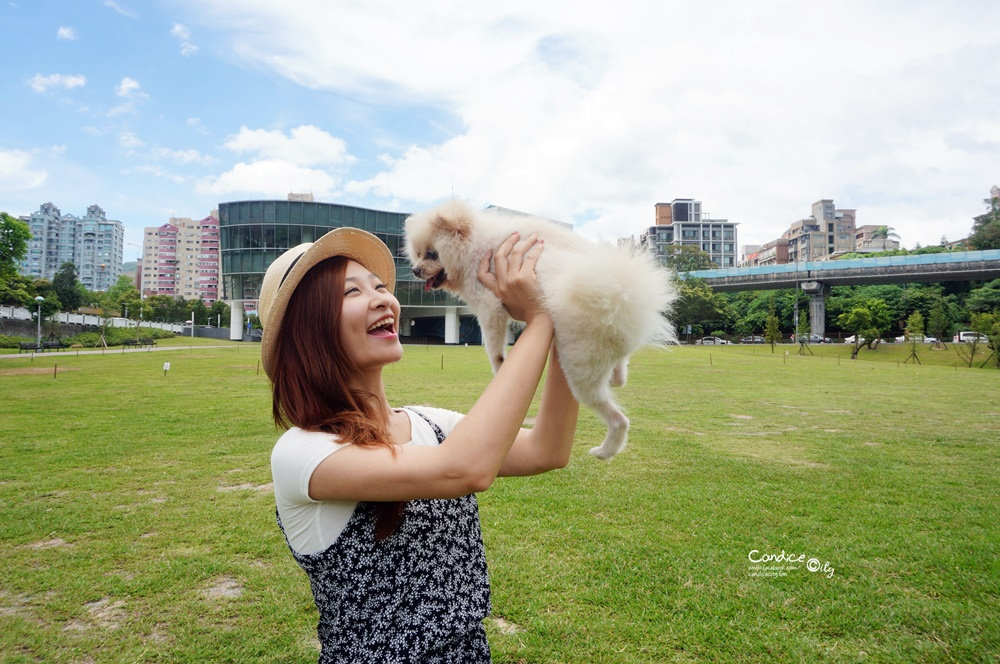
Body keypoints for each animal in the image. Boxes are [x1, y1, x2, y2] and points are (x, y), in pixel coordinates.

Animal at [406, 202, 680, 460]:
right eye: (418, 255)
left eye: (432, 254)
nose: (415, 270)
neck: (474, 249)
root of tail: (621, 298)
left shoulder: (489, 306)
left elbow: (493, 347)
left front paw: (500, 366)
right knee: (621, 368)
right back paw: (618, 375)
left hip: (580, 367)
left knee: (619, 419)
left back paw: (605, 451)